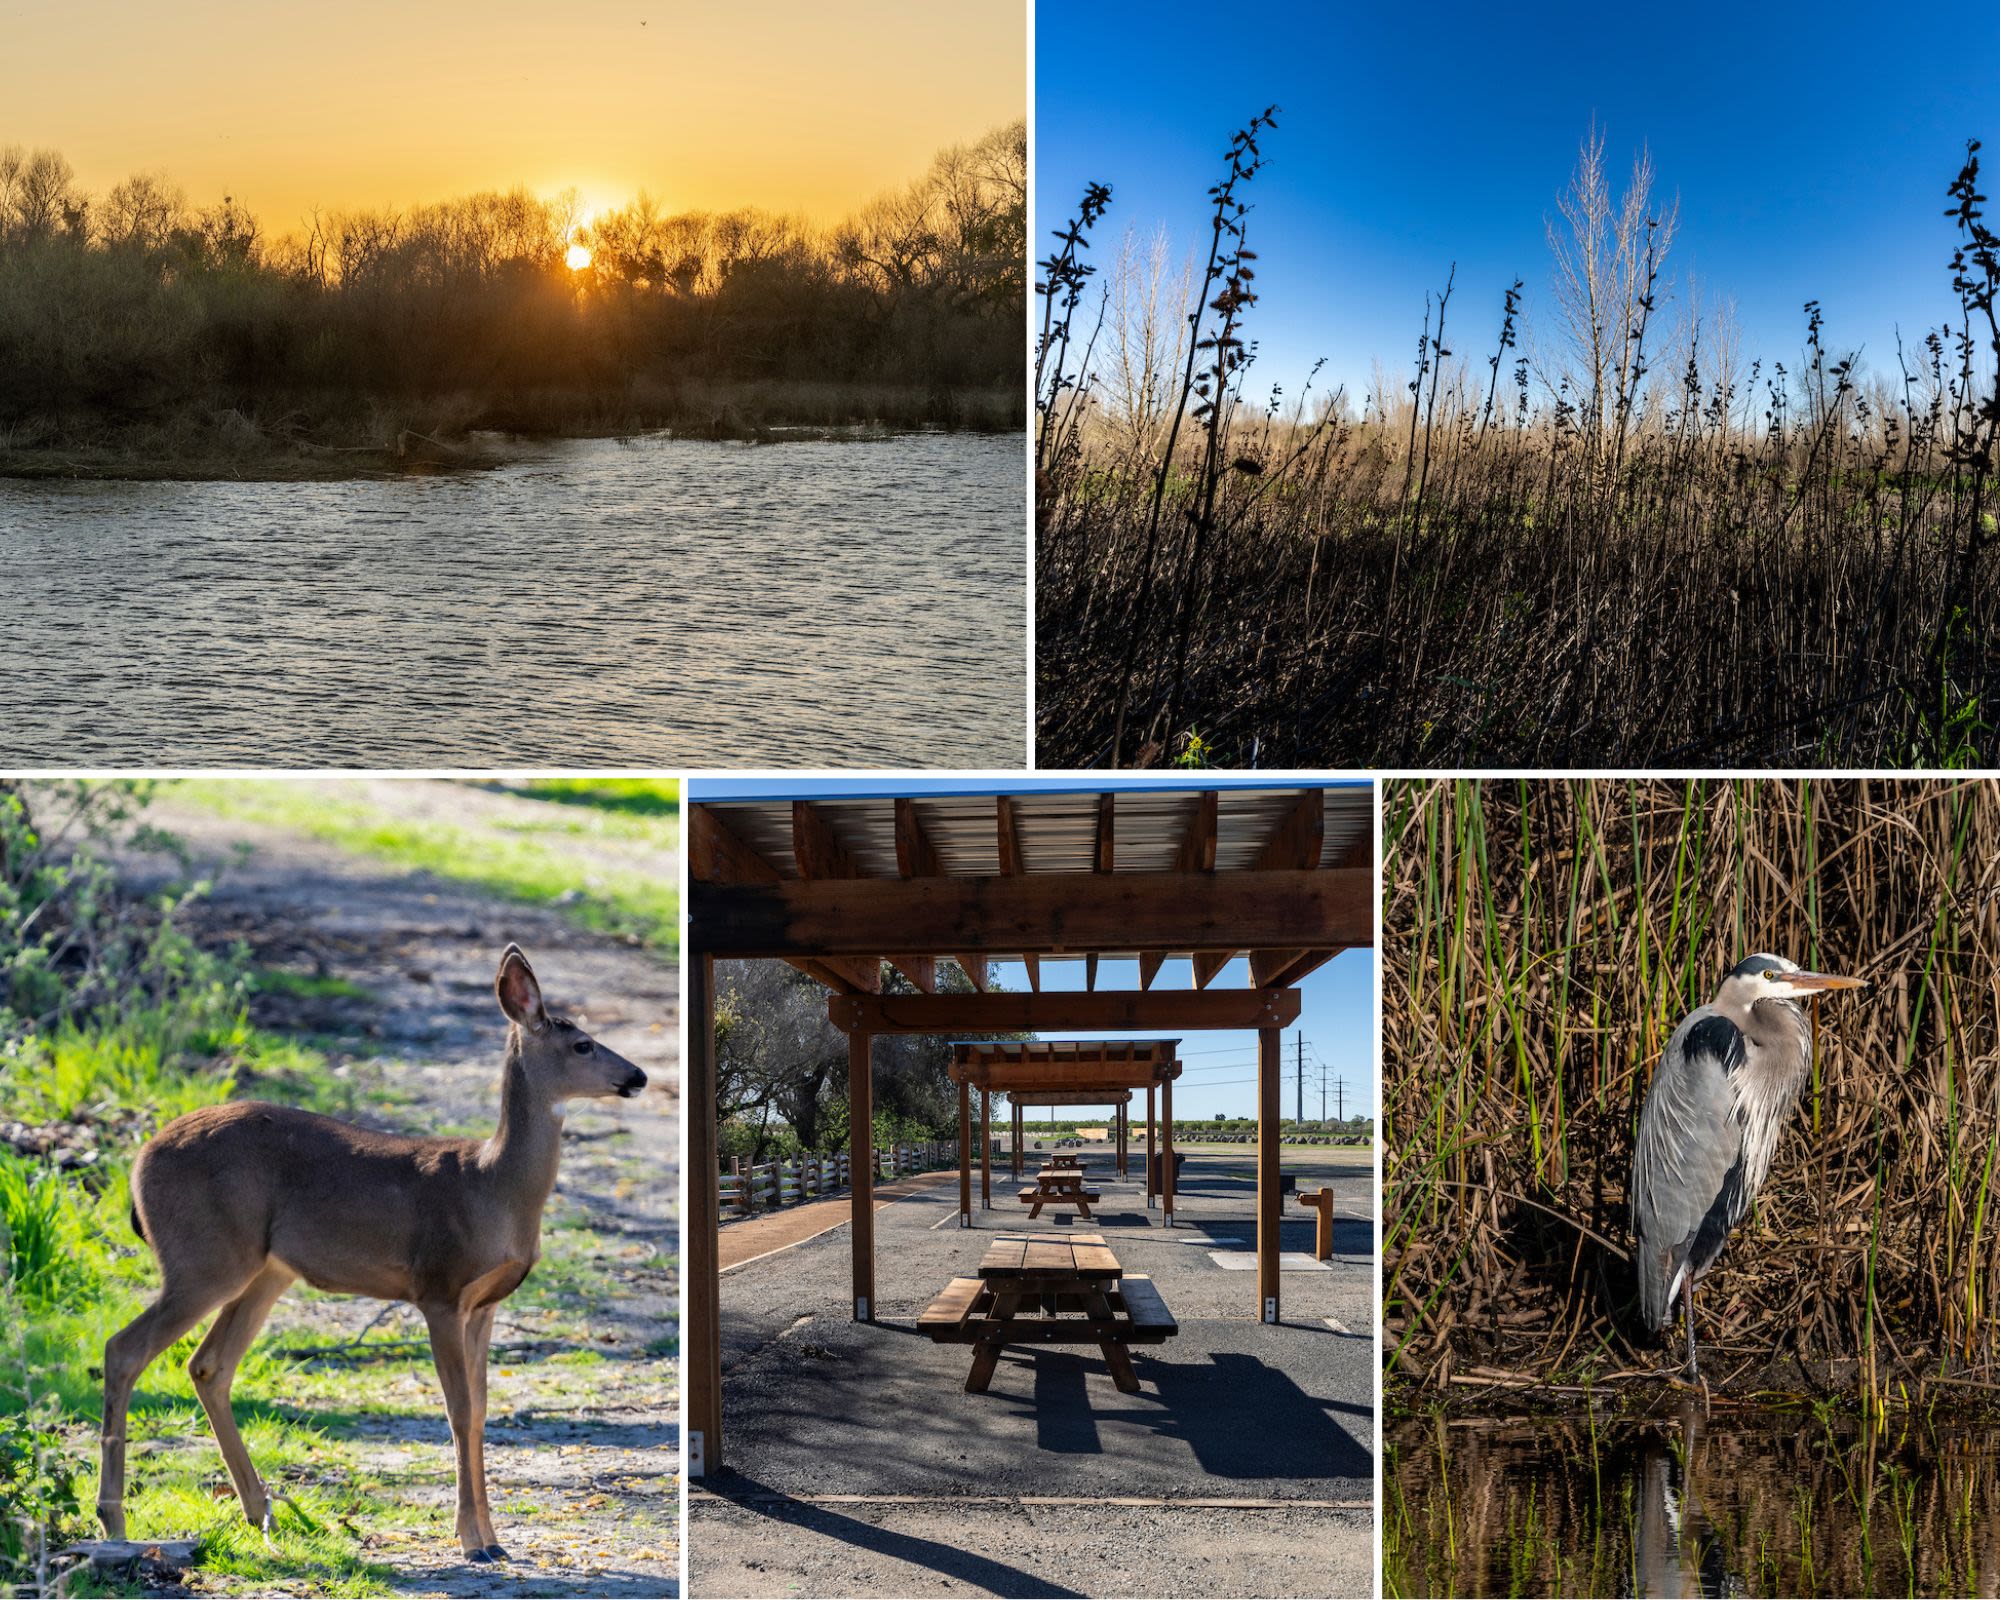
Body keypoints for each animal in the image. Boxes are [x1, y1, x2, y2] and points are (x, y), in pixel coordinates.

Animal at [97, 944, 644, 1560]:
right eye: (583, 1044)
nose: (638, 1076)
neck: (493, 1187)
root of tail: (137, 1164)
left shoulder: (485, 1304)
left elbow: (481, 1412)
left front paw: (494, 1539)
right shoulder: (440, 1288)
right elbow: (458, 1412)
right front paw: (471, 1541)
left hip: (265, 1270)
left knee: (208, 1364)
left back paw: (259, 1510)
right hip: (204, 1255)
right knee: (124, 1349)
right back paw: (113, 1519)